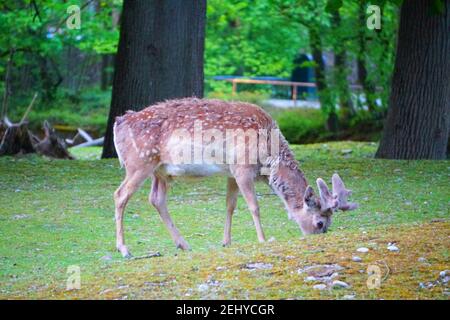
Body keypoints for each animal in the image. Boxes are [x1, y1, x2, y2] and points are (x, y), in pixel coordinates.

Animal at [112, 97, 358, 258]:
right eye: (319, 223)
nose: (316, 237)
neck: (268, 157)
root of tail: (119, 123)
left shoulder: (231, 172)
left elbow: (230, 205)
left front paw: (226, 242)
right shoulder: (242, 166)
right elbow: (254, 206)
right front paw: (263, 239)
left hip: (160, 171)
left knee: (156, 199)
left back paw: (183, 245)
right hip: (139, 162)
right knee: (120, 195)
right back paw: (124, 249)